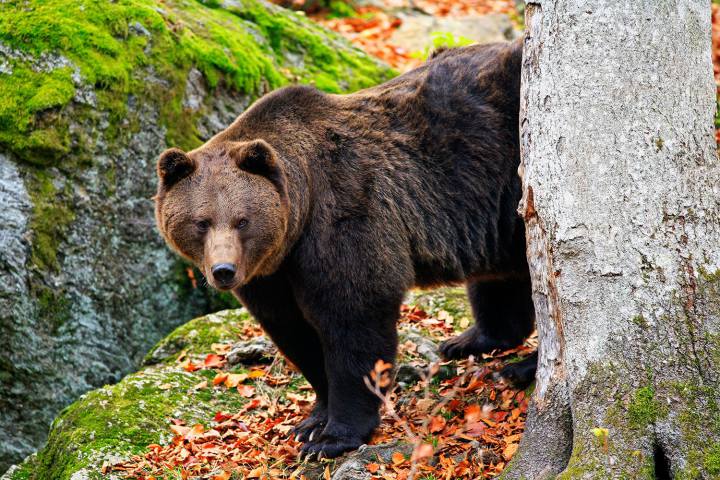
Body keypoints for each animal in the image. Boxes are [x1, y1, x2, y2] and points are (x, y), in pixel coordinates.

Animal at [154, 39, 535, 459]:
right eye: (201, 222)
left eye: (242, 220)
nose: (223, 271)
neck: (298, 219)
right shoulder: (271, 275)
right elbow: (293, 331)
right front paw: (312, 420)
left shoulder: (344, 216)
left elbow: (354, 318)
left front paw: (334, 436)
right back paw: (469, 340)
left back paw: (521, 368)